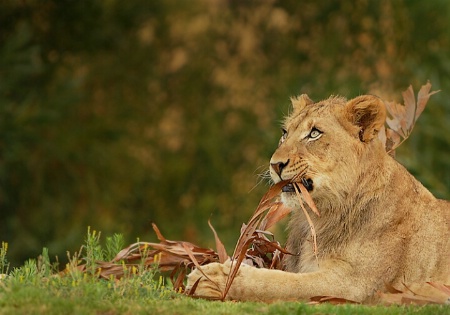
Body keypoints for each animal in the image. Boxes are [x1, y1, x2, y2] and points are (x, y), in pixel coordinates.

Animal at [186, 93, 450, 304]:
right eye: (285, 133)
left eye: (314, 133)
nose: (275, 164)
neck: (320, 215)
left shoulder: (353, 285)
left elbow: (282, 284)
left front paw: (210, 278)